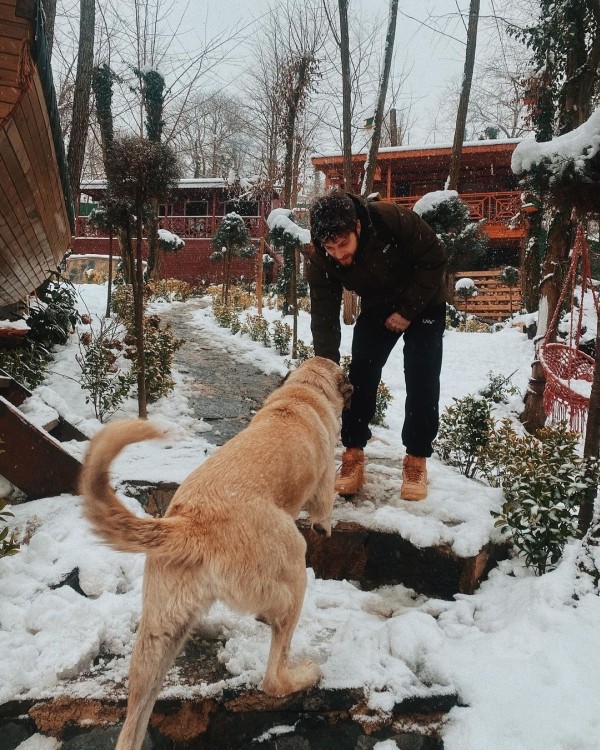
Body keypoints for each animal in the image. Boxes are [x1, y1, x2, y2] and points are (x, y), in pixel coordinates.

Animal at [79, 358, 352, 750]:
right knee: (273, 678)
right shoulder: (325, 479)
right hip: (294, 574)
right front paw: (325, 526)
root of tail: (190, 524)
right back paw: (305, 674)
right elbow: (324, 509)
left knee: (133, 723)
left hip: (156, 642)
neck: (303, 392)